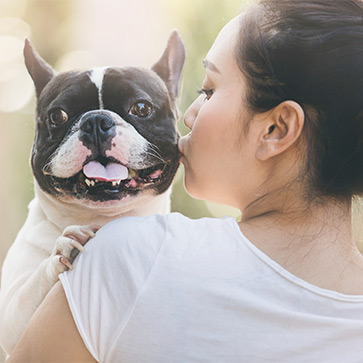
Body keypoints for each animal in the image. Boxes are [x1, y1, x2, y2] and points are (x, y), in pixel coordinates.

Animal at [0, 32, 186, 356]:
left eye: (141, 108)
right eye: (57, 116)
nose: (97, 121)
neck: (101, 217)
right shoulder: (12, 314)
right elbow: (27, 293)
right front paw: (63, 248)